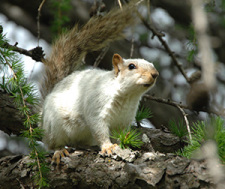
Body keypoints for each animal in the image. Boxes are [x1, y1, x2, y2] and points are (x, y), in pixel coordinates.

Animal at [39, 3, 158, 163]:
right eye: (131, 66)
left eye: (152, 66)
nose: (155, 74)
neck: (127, 97)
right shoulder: (96, 108)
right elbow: (99, 129)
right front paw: (108, 147)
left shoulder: (123, 121)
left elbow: (120, 135)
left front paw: (123, 145)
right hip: (54, 125)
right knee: (53, 144)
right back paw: (59, 151)